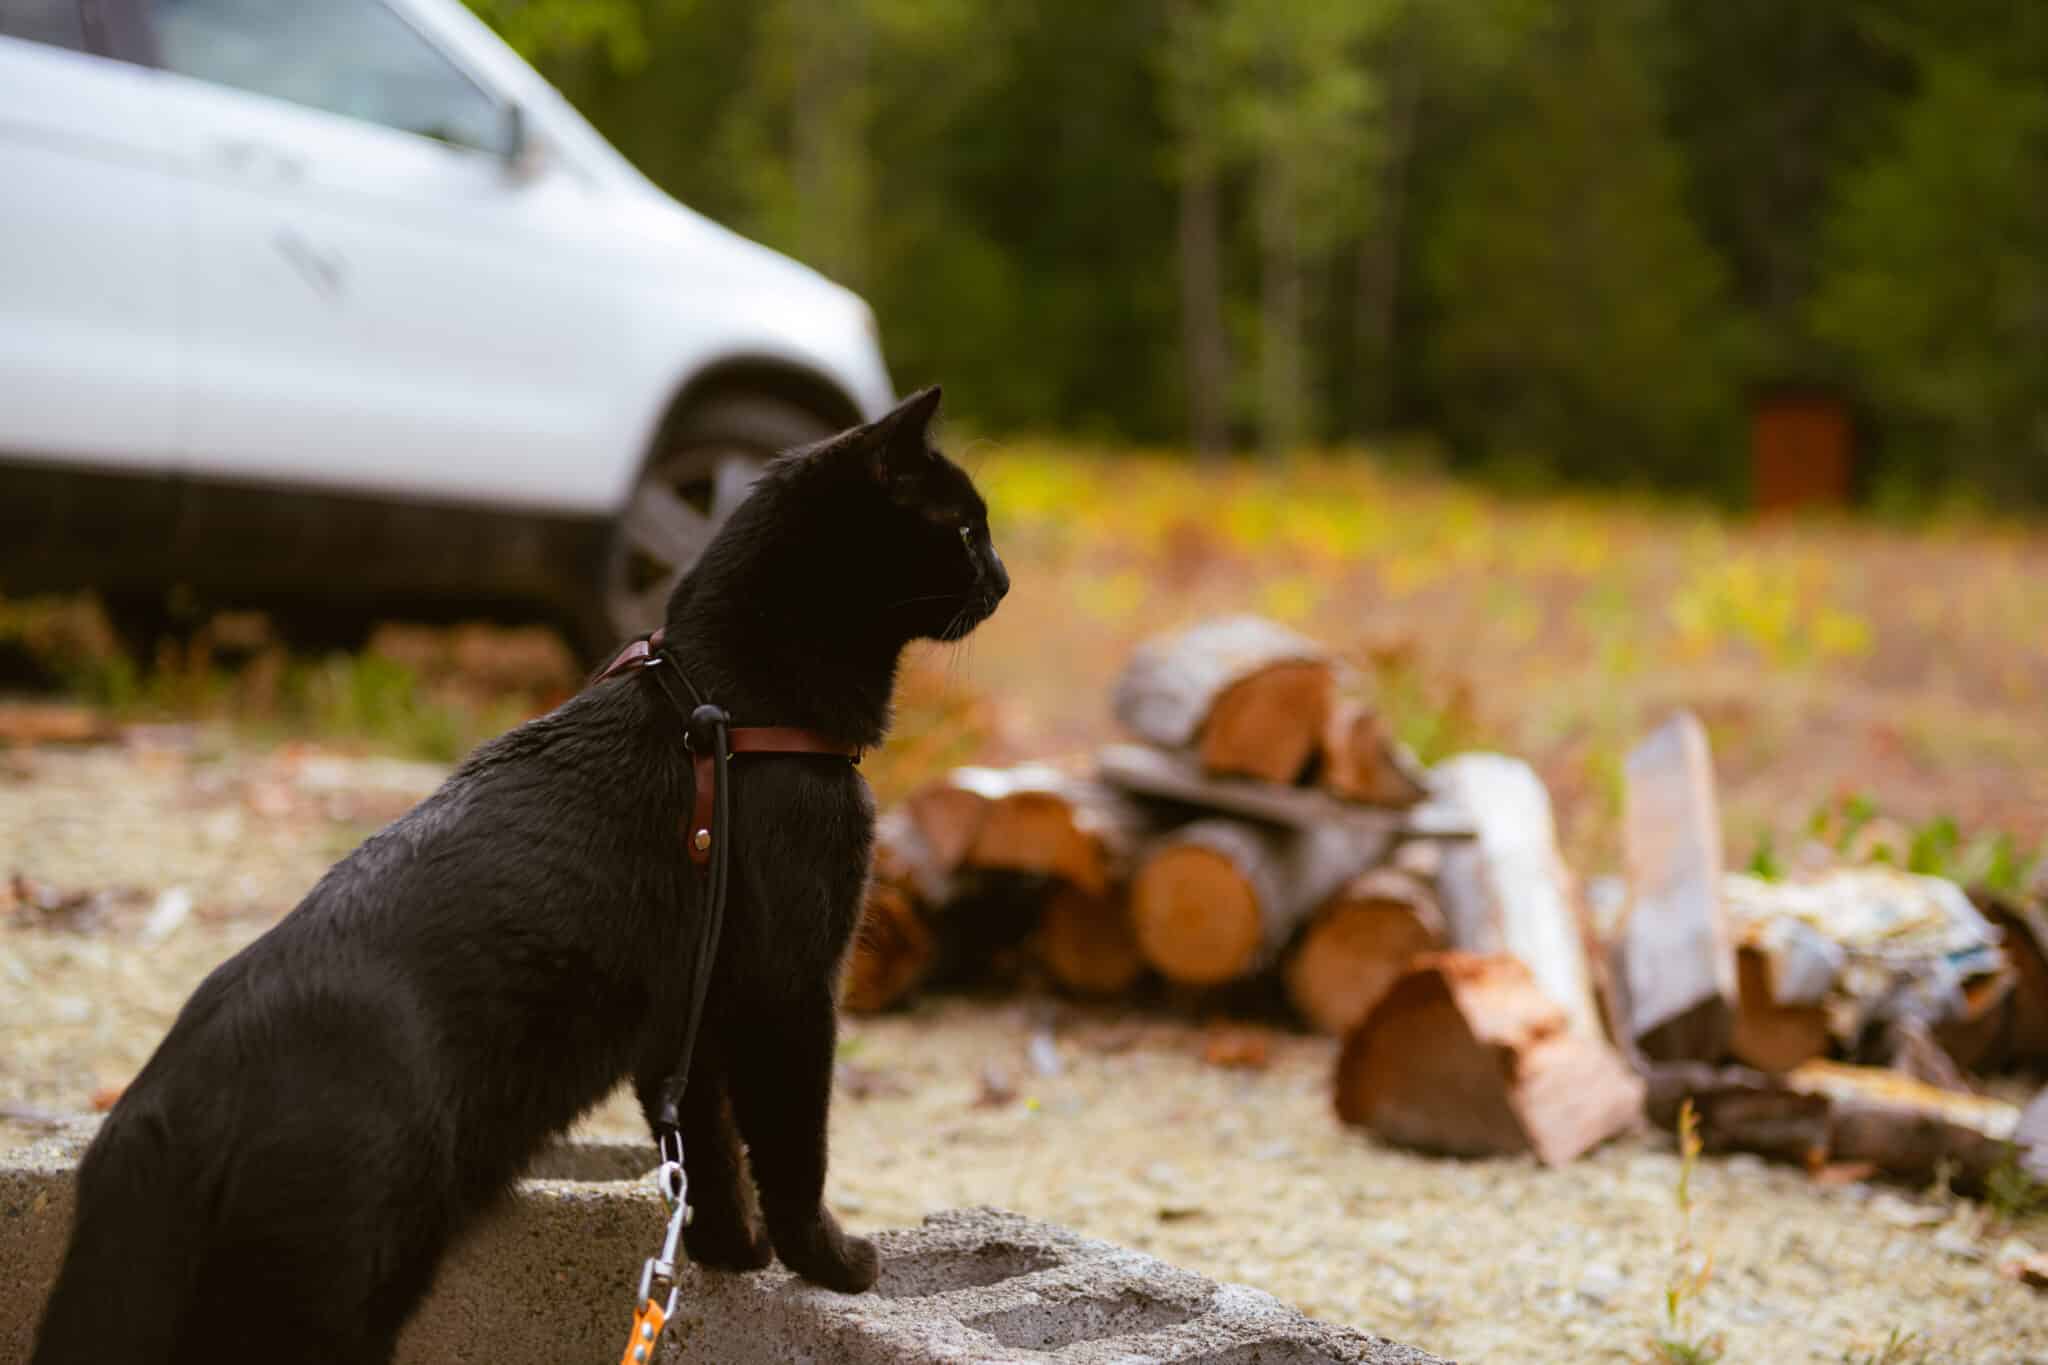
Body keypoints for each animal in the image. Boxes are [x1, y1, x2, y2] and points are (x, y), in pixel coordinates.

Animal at [36, 386, 1011, 1365]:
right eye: (967, 528)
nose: (1002, 578)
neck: (732, 708)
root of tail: (165, 1109)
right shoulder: (792, 987)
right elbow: (790, 1145)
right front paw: (834, 1262)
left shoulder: (689, 1014)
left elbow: (706, 1150)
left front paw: (728, 1251)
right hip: (334, 1291)